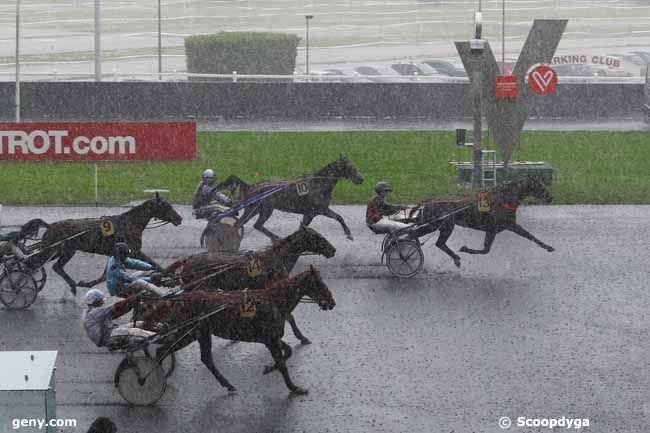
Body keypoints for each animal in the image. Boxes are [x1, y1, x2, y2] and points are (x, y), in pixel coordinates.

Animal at [37, 195, 182, 294]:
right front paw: (172, 276)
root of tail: (50, 226)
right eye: (166, 206)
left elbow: (104, 275)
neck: (129, 224)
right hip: (57, 250)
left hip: (61, 251)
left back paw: (72, 285)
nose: (179, 218)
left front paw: (87, 283)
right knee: (47, 265)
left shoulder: (115, 252)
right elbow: (155, 264)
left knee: (56, 266)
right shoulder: (135, 251)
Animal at [138, 264, 334, 394]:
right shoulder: (270, 340)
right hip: (188, 332)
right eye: (319, 283)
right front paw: (294, 387)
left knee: (206, 358)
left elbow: (287, 353)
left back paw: (227, 384)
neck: (274, 300)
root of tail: (180, 299)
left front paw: (269, 368)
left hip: (201, 332)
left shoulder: (271, 339)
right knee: (163, 350)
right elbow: (283, 363)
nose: (332, 302)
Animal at [163, 224, 334, 342]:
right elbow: (289, 316)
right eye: (317, 237)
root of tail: (187, 259)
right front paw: (301, 337)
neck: (275, 258)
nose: (333, 250)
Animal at [220, 154, 362, 241]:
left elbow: (303, 227)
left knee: (242, 224)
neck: (319, 184)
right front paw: (349, 234)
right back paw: (275, 237)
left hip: (254, 210)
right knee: (255, 225)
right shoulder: (319, 210)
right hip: (264, 209)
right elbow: (339, 217)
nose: (361, 179)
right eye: (350, 167)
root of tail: (250, 186)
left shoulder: (311, 213)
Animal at [404, 176, 552, 266]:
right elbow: (486, 249)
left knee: (434, 241)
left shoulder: (499, 228)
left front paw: (547, 246)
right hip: (439, 225)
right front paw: (465, 249)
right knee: (421, 237)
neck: (504, 198)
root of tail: (430, 200)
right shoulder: (500, 227)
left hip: (438, 224)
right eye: (540, 186)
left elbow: (487, 249)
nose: (550, 197)